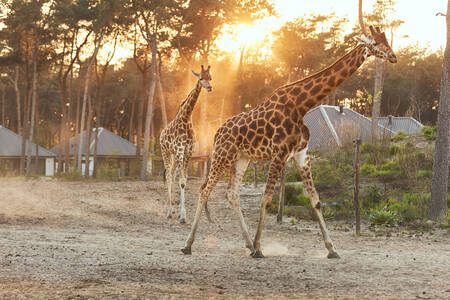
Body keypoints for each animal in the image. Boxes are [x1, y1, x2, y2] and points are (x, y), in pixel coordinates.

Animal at [160, 64, 213, 223]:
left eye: (210, 77)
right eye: (200, 78)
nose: (209, 87)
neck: (186, 117)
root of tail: (161, 134)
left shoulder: (187, 151)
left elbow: (184, 181)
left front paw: (181, 214)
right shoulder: (179, 150)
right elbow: (182, 181)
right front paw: (182, 216)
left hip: (174, 156)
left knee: (171, 175)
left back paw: (172, 210)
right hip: (166, 152)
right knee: (169, 177)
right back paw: (169, 212)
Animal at [181, 26, 396, 258]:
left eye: (386, 41)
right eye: (376, 43)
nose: (393, 56)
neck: (301, 106)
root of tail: (217, 132)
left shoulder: (301, 154)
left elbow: (315, 200)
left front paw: (332, 249)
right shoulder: (279, 153)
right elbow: (266, 198)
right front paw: (259, 248)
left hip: (241, 159)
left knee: (232, 194)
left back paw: (247, 244)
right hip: (222, 156)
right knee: (205, 190)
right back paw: (188, 245)